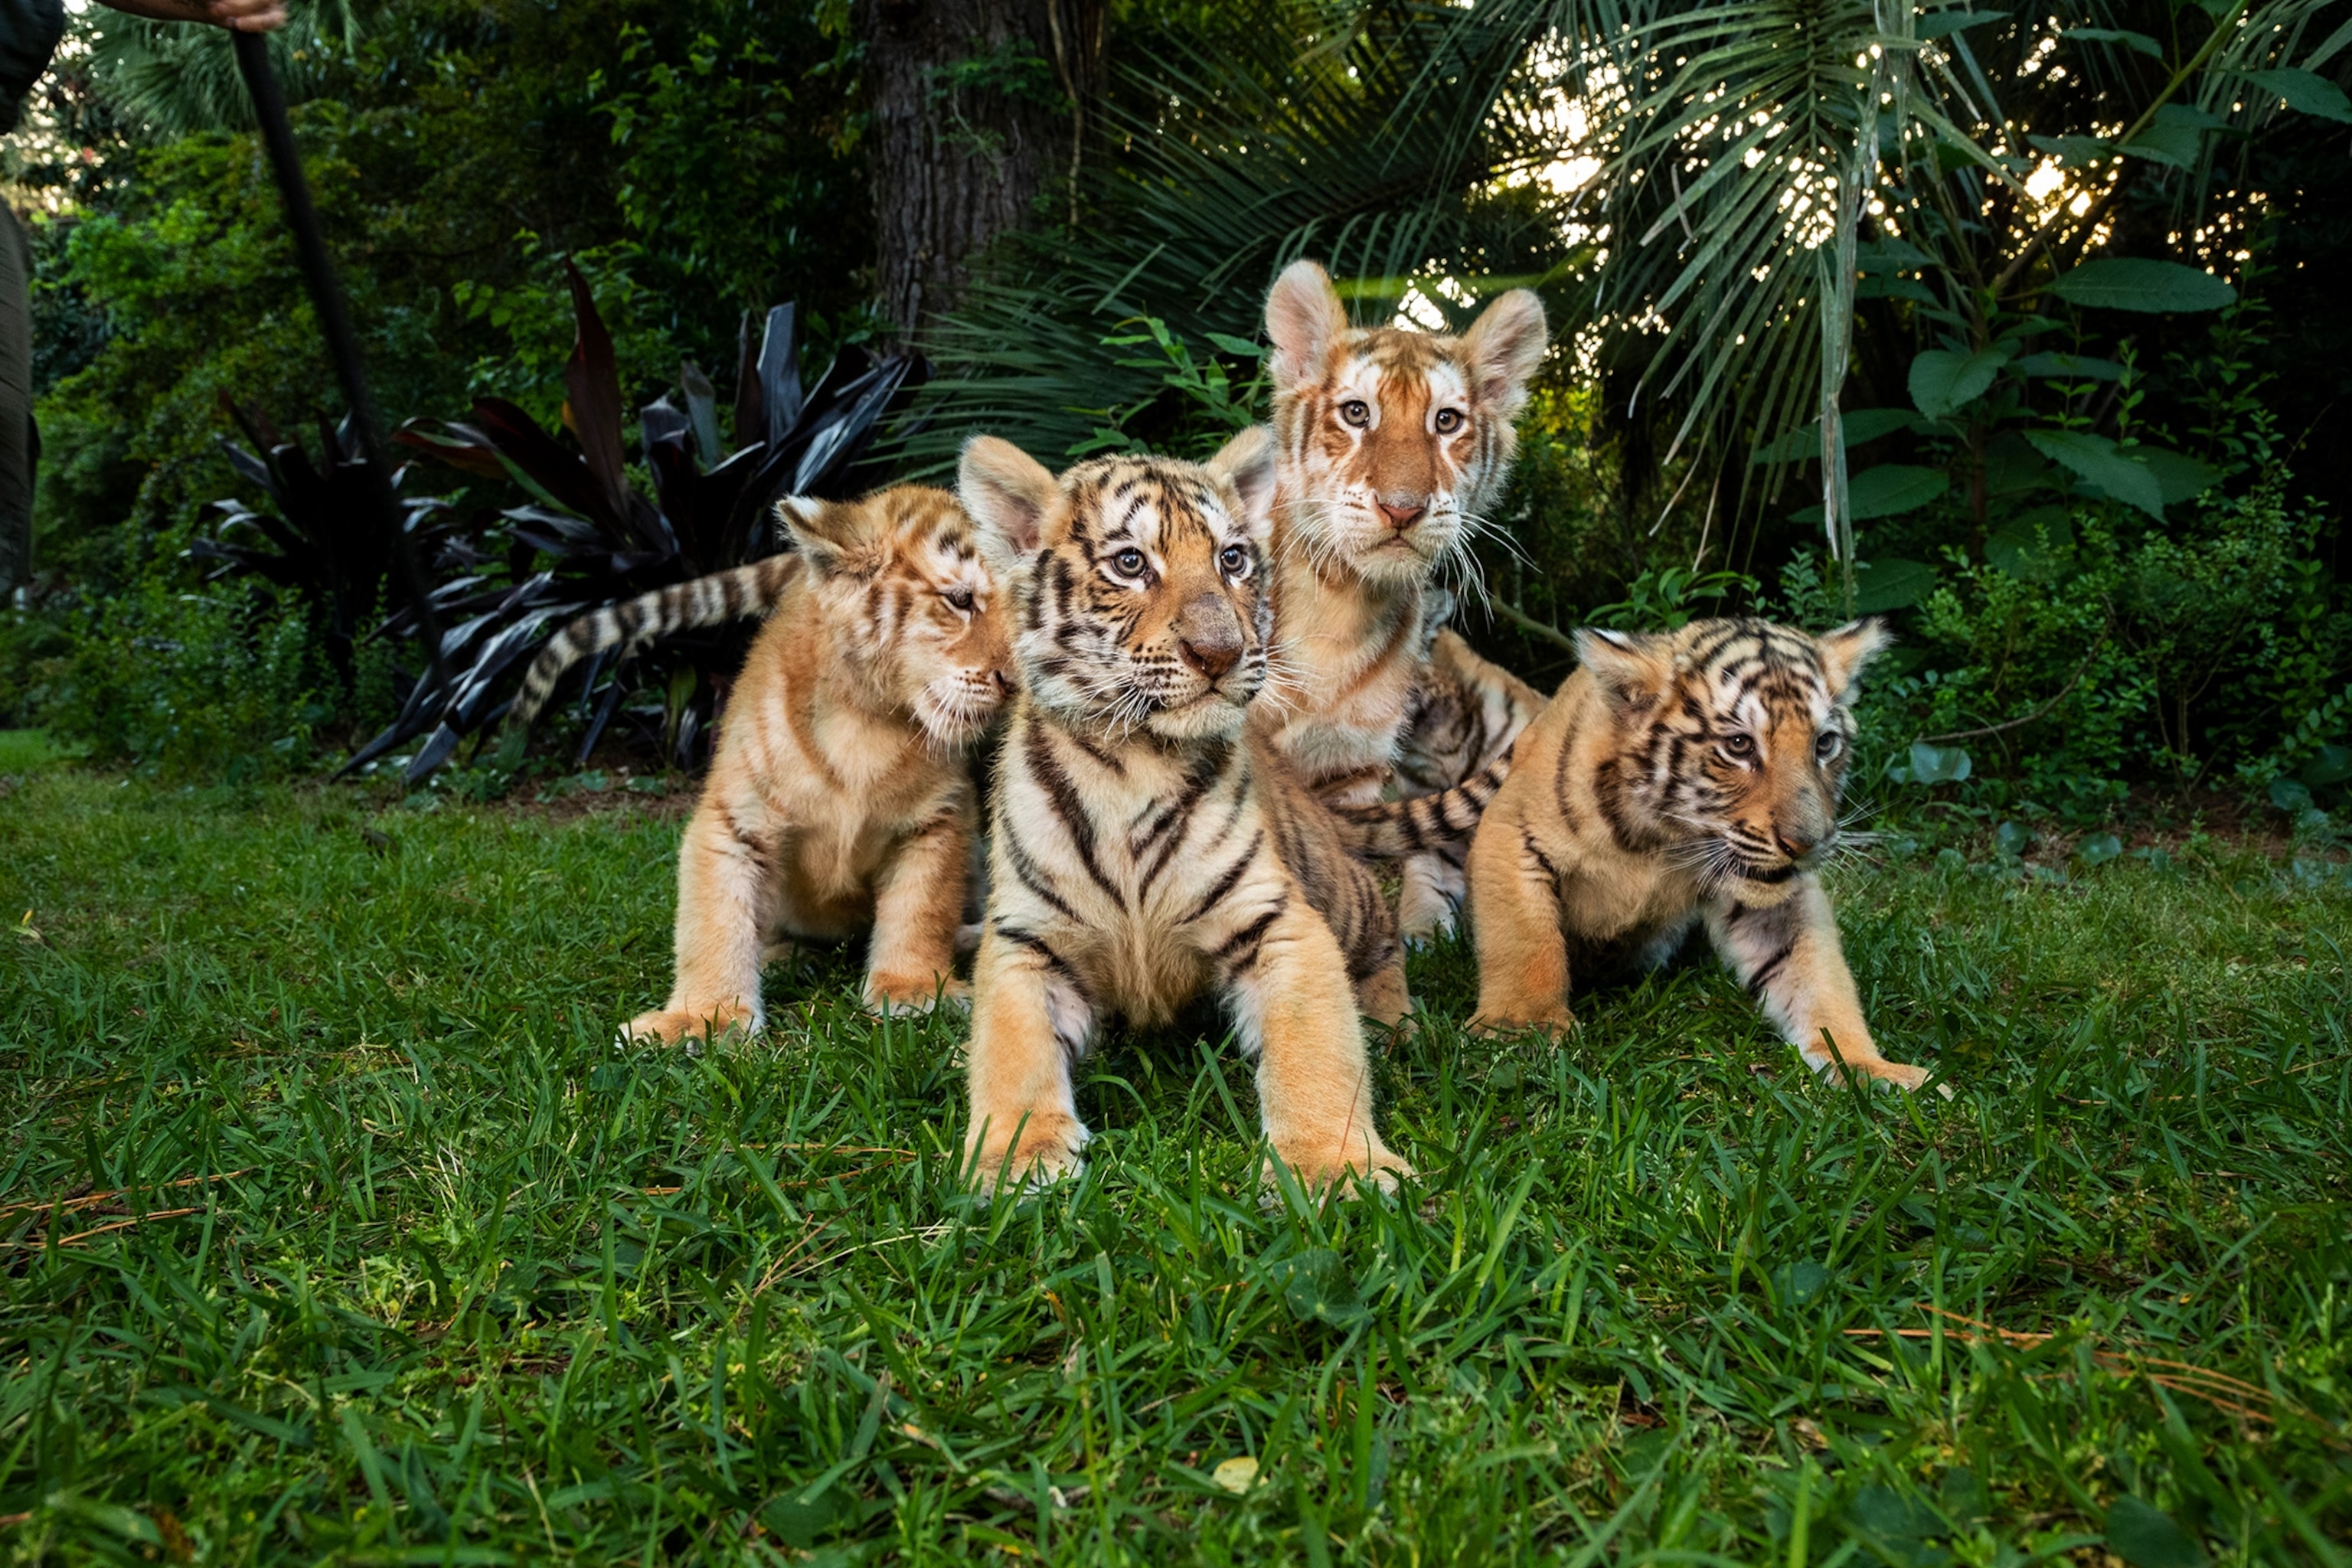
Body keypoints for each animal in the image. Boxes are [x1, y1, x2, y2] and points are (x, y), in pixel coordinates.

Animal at [599, 486, 1013, 1041]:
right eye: (961, 600)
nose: (1017, 681)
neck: (871, 720)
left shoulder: (939, 820)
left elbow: (922, 908)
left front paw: (913, 990)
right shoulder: (733, 821)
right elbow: (714, 921)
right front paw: (703, 1017)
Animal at [953, 426, 1504, 1196]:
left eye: (1232, 560)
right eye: (1130, 564)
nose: (1221, 652)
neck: (1134, 759)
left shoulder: (1277, 919)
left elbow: (1316, 1052)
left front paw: (1334, 1167)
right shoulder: (1027, 940)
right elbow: (1011, 1052)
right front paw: (1018, 1158)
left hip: (1348, 897)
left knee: (1384, 948)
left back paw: (1396, 1024)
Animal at [1463, 616, 1942, 1093]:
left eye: (1824, 744)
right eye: (1739, 745)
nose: (1806, 843)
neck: (1667, 839)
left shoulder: (1773, 903)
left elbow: (1815, 977)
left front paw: (1871, 1068)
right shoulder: (1510, 828)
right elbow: (1524, 938)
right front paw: (1523, 1028)